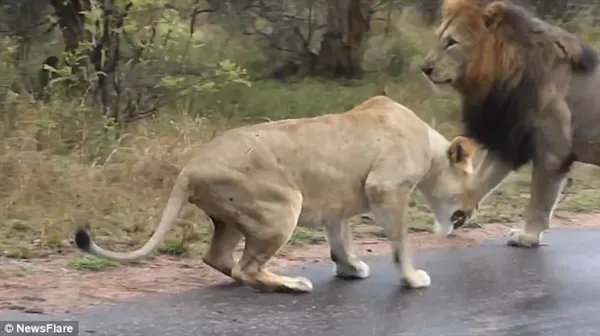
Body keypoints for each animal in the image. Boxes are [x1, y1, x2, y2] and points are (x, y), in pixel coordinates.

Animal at [75, 96, 478, 292]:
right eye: (473, 185)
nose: (473, 210)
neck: (428, 144)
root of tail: (190, 167)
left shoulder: (337, 203)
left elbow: (340, 239)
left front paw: (349, 268)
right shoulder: (386, 189)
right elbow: (401, 243)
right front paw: (412, 278)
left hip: (233, 217)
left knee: (221, 259)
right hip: (283, 206)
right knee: (246, 267)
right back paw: (293, 284)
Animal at [420, 0, 600, 247]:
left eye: (452, 42)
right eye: (439, 38)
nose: (425, 68)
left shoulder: (551, 150)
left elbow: (539, 201)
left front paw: (528, 237)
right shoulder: (508, 138)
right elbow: (478, 181)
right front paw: (456, 213)